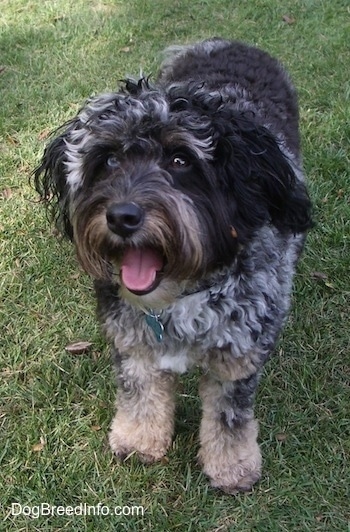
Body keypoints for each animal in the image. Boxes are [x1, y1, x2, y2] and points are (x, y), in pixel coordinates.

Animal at [33, 38, 312, 494]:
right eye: (108, 160)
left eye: (181, 161)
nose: (122, 217)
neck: (180, 296)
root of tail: (228, 41)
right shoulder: (132, 340)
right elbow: (141, 393)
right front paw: (138, 439)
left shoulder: (237, 353)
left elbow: (229, 415)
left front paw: (232, 465)